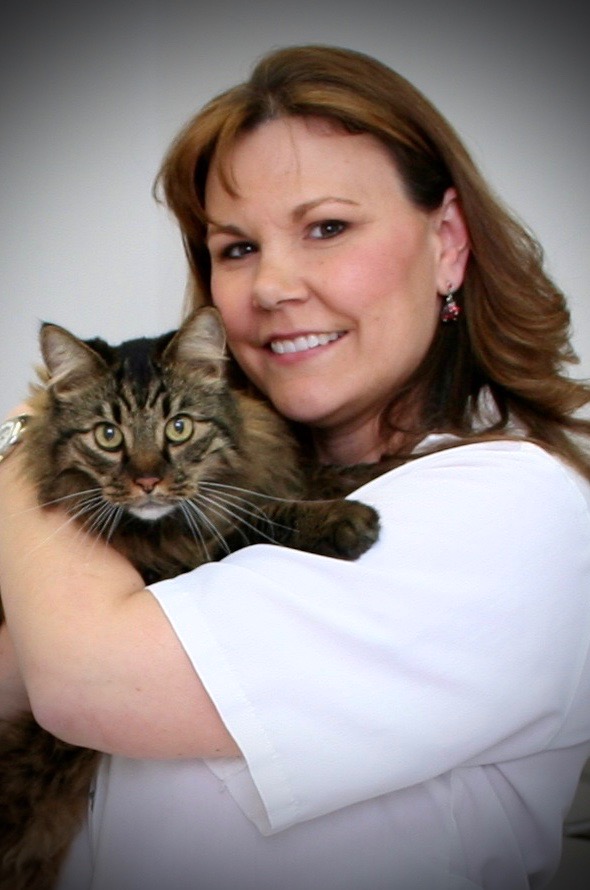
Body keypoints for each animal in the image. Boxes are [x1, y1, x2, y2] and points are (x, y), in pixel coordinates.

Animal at [0, 306, 382, 888]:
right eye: (108, 436)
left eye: (178, 427)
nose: (148, 481)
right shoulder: (183, 558)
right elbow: (263, 517)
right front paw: (342, 517)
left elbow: (317, 473)